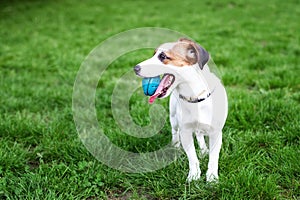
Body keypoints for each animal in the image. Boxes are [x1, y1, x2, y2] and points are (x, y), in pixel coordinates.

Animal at [134, 38, 227, 183]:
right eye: (153, 54)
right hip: (173, 117)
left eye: (163, 56)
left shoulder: (216, 132)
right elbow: (192, 157)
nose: (135, 68)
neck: (195, 97)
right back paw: (176, 147)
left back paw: (203, 150)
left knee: (199, 135)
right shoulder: (185, 131)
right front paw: (194, 176)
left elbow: (213, 157)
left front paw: (212, 178)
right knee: (175, 131)